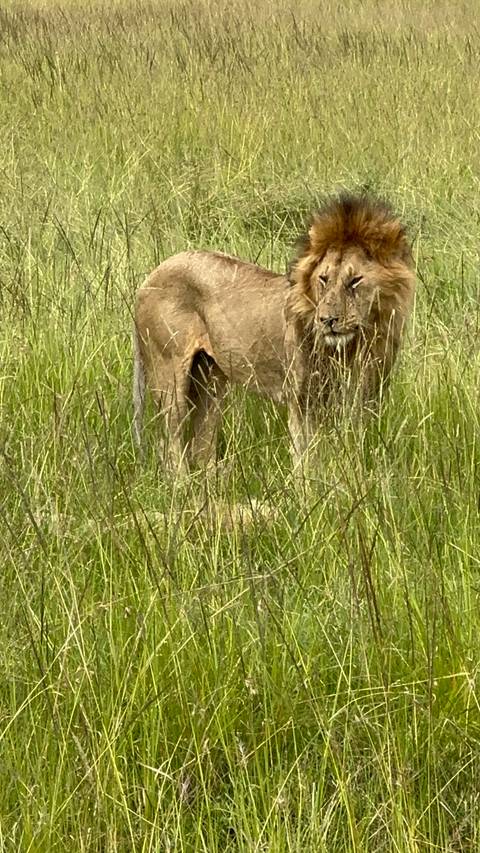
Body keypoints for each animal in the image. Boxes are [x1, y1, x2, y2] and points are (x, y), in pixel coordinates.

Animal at [133, 192, 416, 470]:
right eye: (323, 279)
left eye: (355, 280)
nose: (326, 320)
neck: (356, 344)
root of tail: (148, 278)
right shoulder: (303, 402)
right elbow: (308, 460)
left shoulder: (365, 400)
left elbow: (353, 450)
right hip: (169, 374)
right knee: (169, 444)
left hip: (209, 379)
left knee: (202, 446)